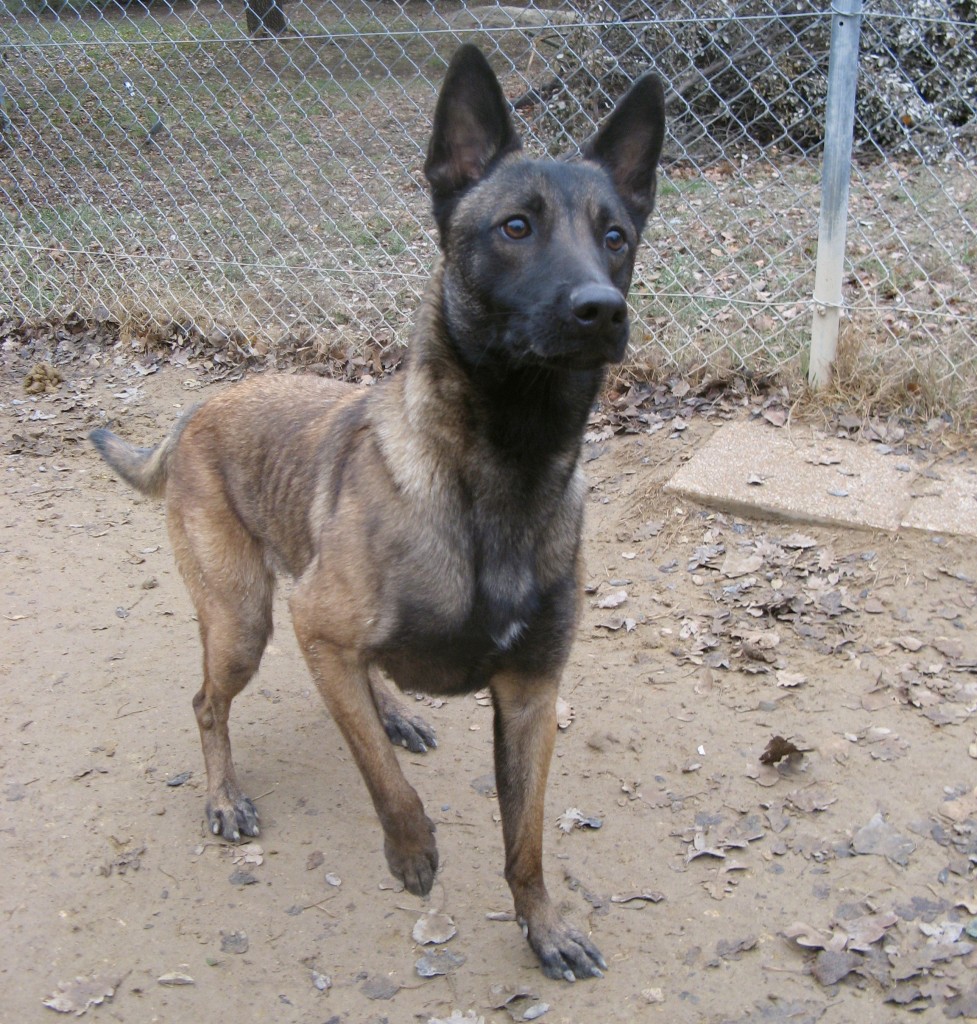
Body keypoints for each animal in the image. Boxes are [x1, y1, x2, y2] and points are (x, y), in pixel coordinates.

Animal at [91, 44, 663, 978]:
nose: (599, 310)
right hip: (244, 621)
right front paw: (412, 850)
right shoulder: (320, 625)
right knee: (210, 703)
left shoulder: (531, 695)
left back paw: (390, 708)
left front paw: (543, 927)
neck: (502, 473)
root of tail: (202, 406)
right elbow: (385, 785)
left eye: (615, 237)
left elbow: (526, 842)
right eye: (516, 227)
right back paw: (226, 795)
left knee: (357, 682)